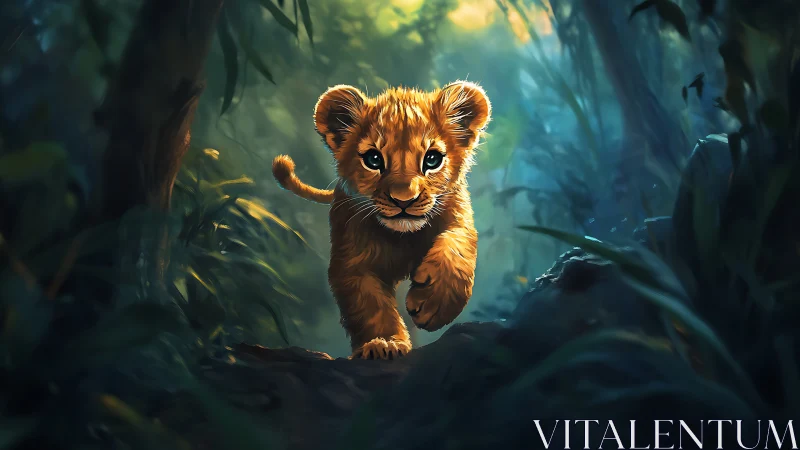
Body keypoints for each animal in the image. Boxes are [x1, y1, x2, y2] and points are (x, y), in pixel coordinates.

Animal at [272, 81, 491, 360]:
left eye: (432, 159)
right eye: (373, 160)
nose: (403, 201)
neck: (403, 237)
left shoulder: (458, 219)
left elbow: (456, 248)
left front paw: (433, 302)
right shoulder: (352, 262)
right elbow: (369, 306)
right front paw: (384, 344)